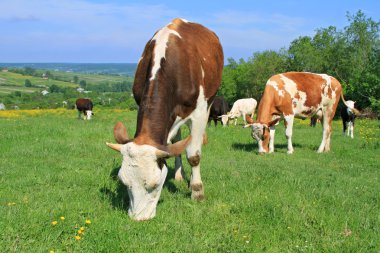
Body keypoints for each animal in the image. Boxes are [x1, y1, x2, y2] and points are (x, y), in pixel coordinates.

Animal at [104, 17, 223, 220]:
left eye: (154, 184)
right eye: (124, 182)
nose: (138, 218)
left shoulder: (199, 112)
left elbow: (194, 155)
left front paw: (197, 191)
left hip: (210, 101)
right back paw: (179, 174)